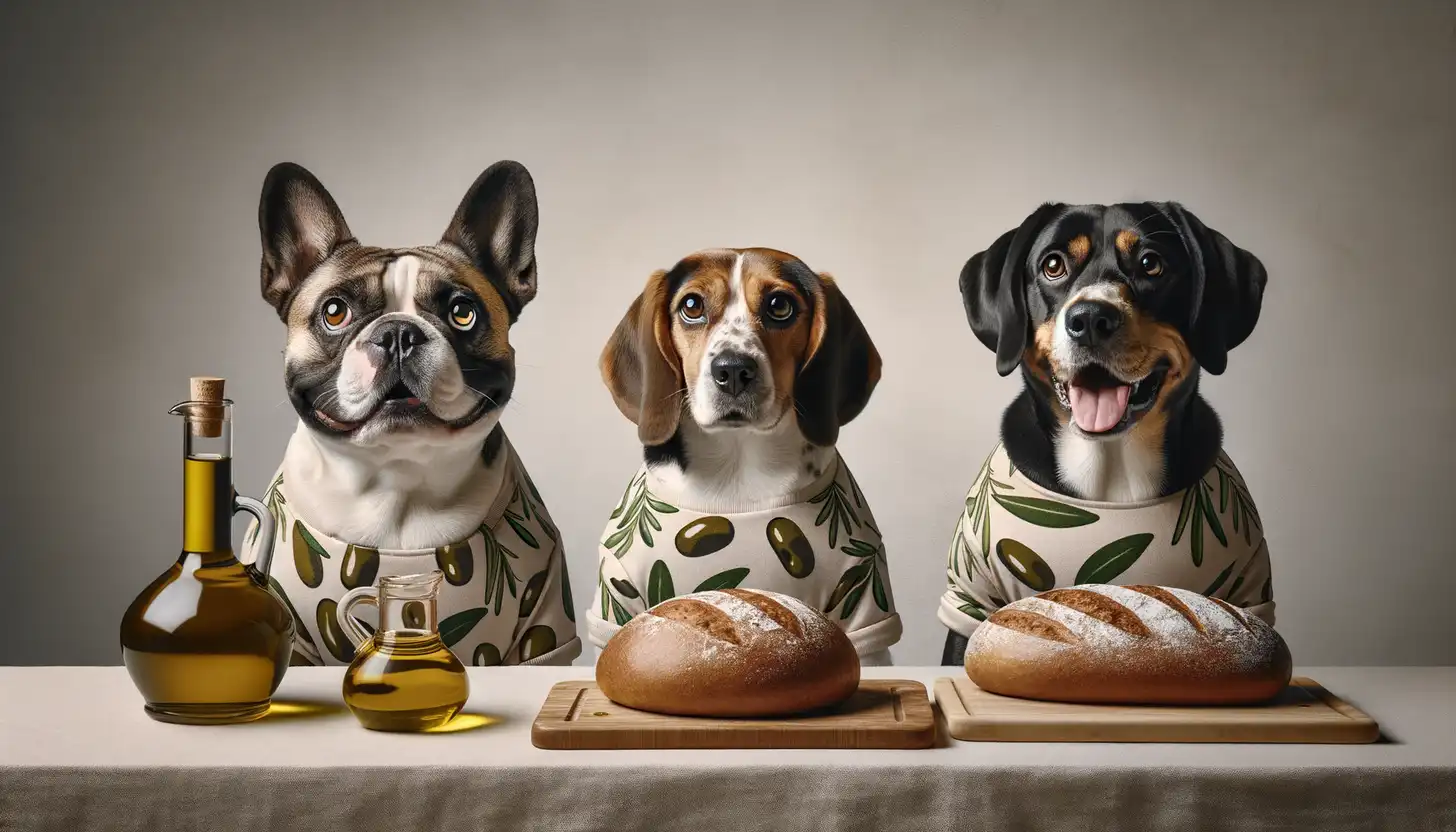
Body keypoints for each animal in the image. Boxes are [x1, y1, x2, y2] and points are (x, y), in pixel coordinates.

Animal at [943, 205, 1275, 667]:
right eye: (1053, 265)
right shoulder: (971, 600)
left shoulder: (1247, 587)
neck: (1111, 471)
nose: (1089, 319)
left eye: (1151, 263)